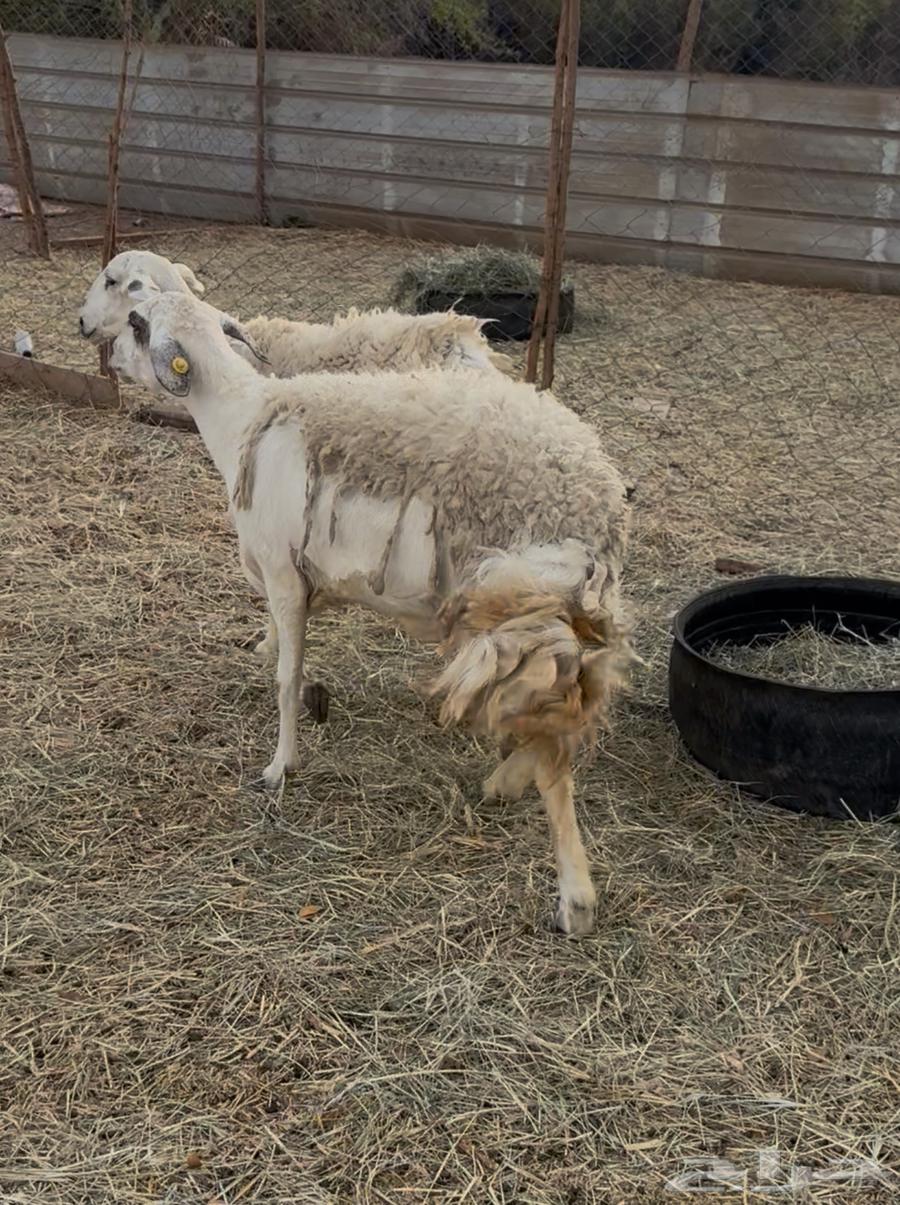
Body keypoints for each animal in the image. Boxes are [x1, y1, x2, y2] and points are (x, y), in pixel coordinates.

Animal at [109, 290, 635, 935]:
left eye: (138, 324)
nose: (107, 353)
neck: (241, 418)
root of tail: (602, 501)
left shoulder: (284, 576)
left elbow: (284, 678)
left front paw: (279, 768)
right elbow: (291, 664)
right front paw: (310, 706)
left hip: (525, 600)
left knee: (555, 752)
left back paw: (574, 899)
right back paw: (507, 785)